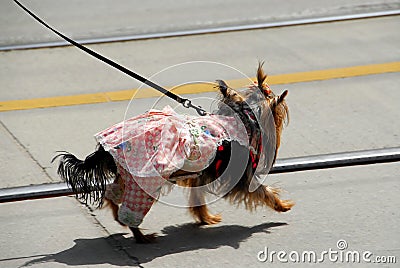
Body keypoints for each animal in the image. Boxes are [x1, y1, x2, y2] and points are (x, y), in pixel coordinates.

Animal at [53, 63, 294, 243]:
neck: (242, 120)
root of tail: (105, 148)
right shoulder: (241, 178)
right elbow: (263, 191)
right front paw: (282, 205)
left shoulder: (199, 176)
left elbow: (198, 200)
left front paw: (205, 218)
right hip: (144, 181)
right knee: (132, 208)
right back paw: (141, 236)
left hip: (128, 176)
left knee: (112, 193)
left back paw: (118, 217)